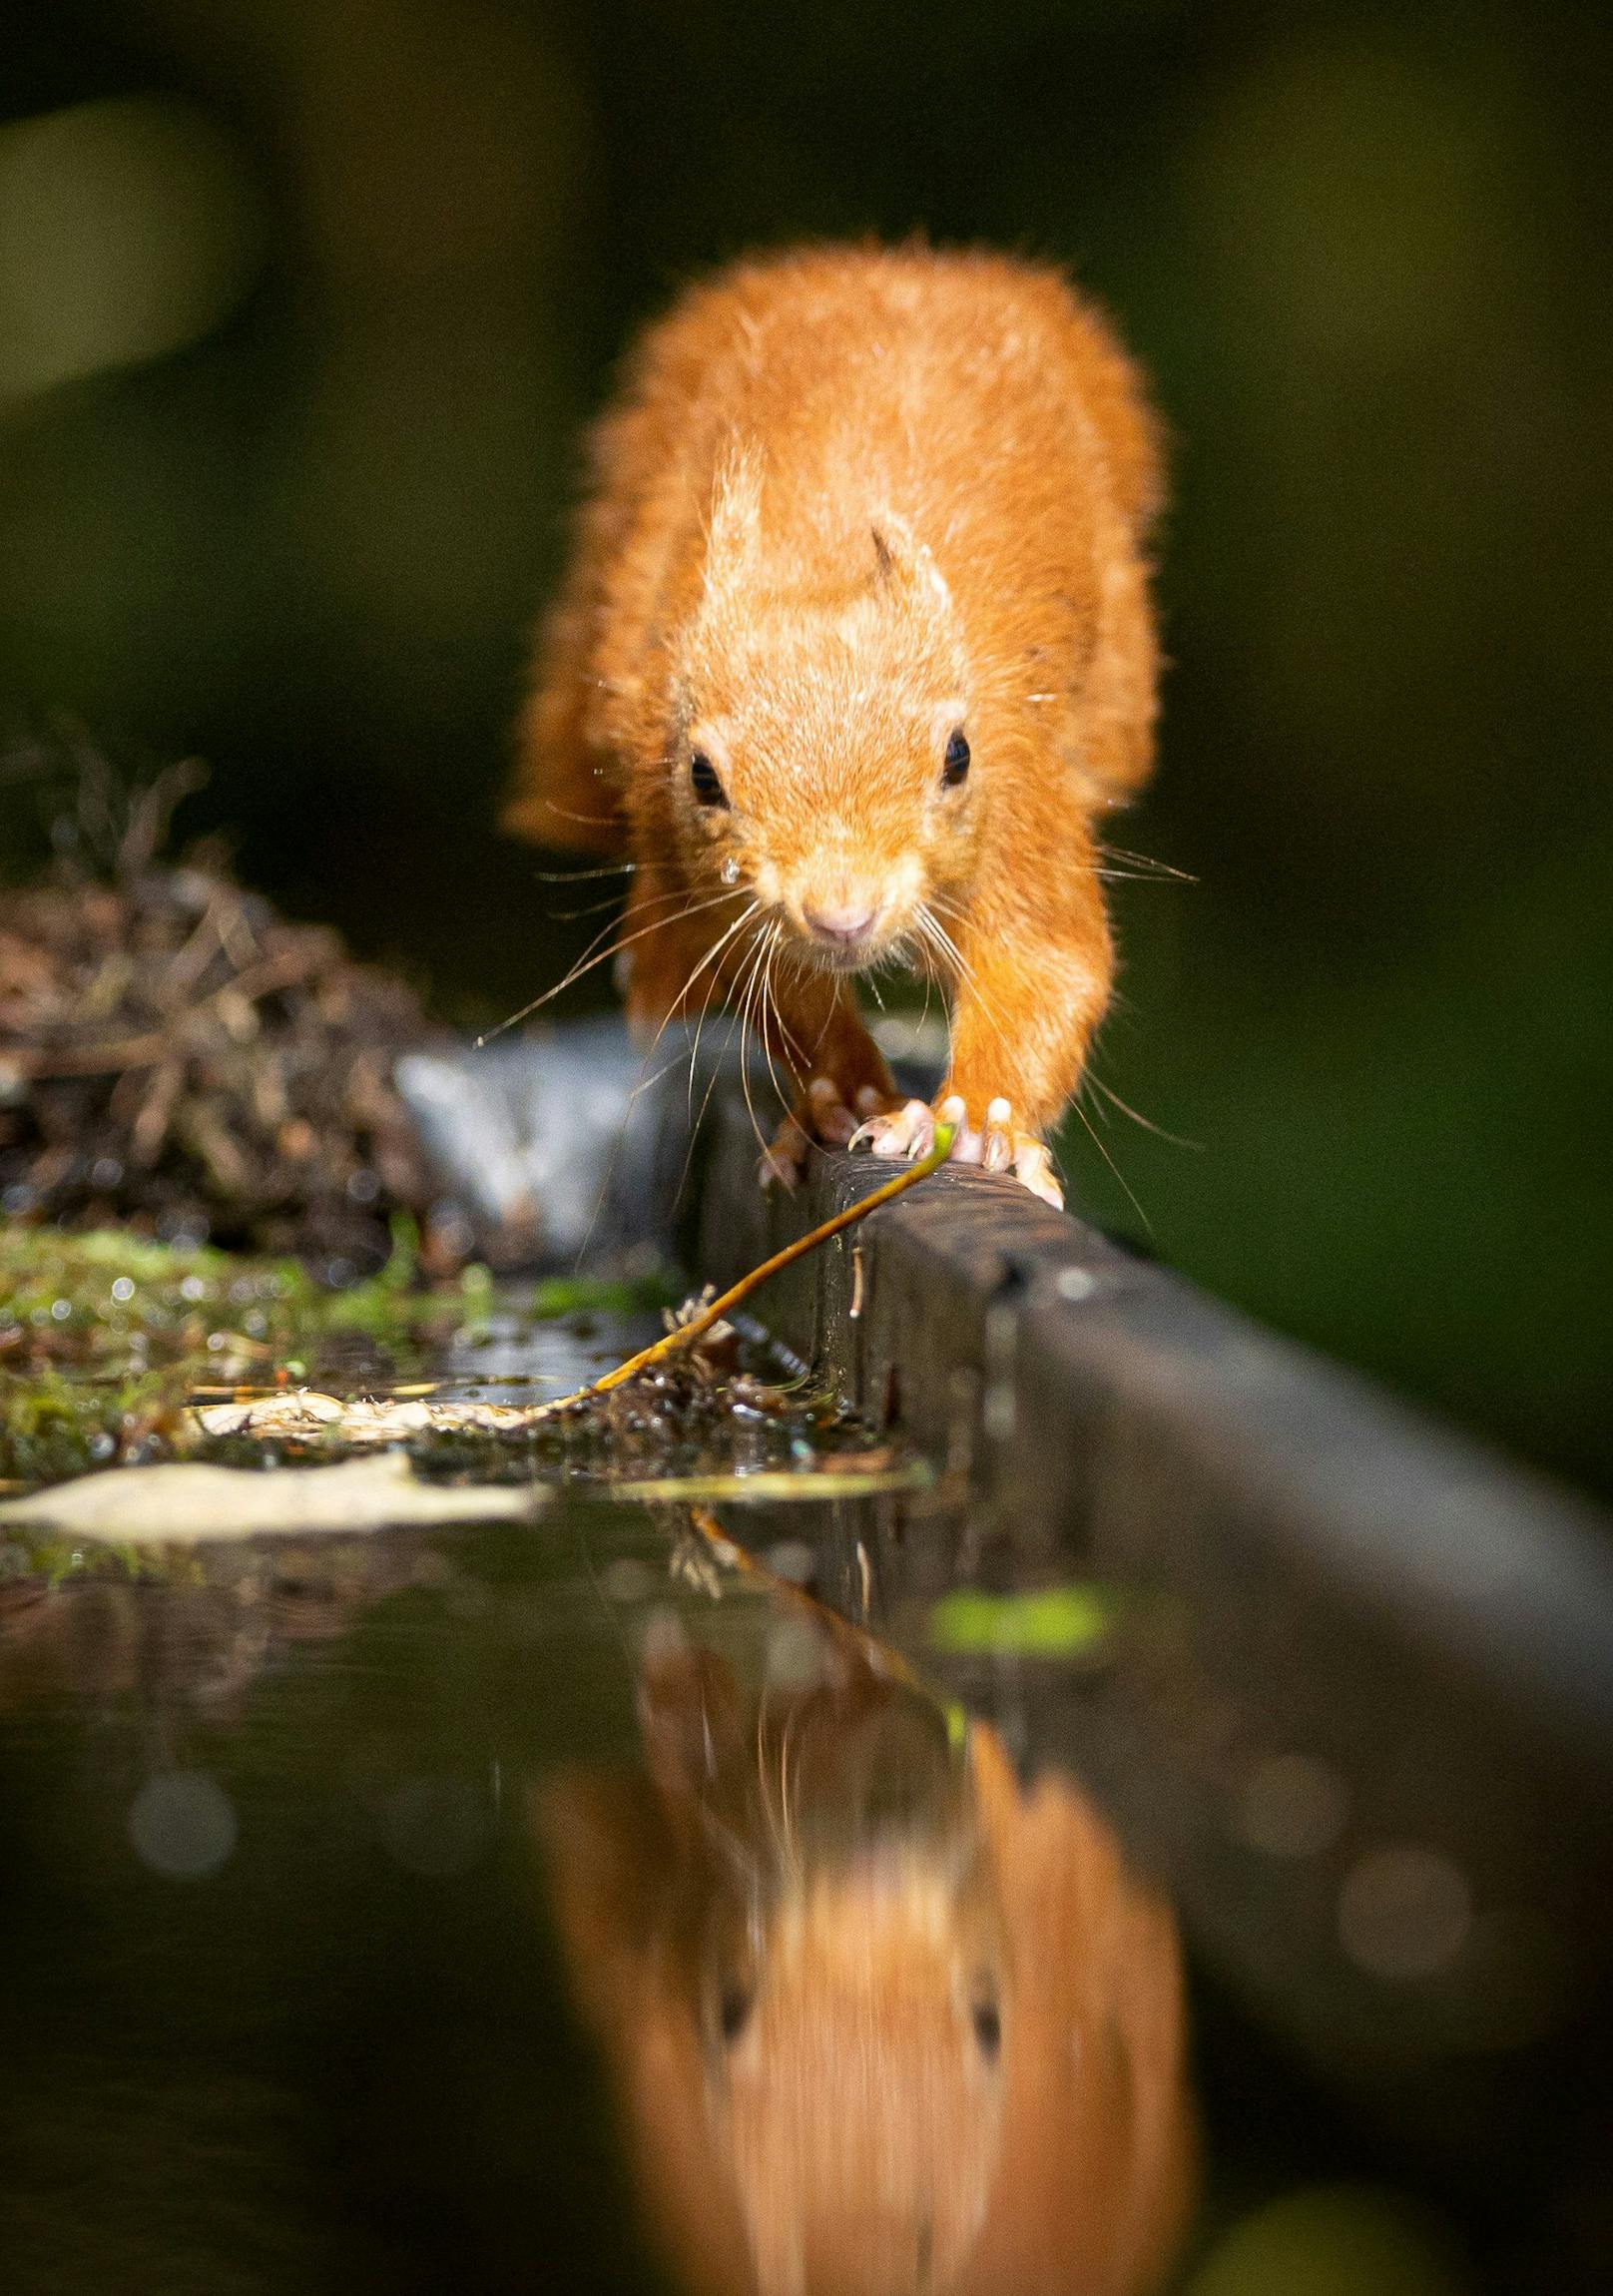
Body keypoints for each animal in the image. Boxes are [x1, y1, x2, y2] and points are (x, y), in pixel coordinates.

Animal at [507, 244, 1161, 1212]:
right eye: (702, 776)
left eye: (958, 757)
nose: (842, 914)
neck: (820, 565)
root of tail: (905, 265)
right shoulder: (712, 887)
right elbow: (777, 992)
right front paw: (848, 1094)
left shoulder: (1024, 805)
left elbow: (1049, 967)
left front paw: (979, 1122)